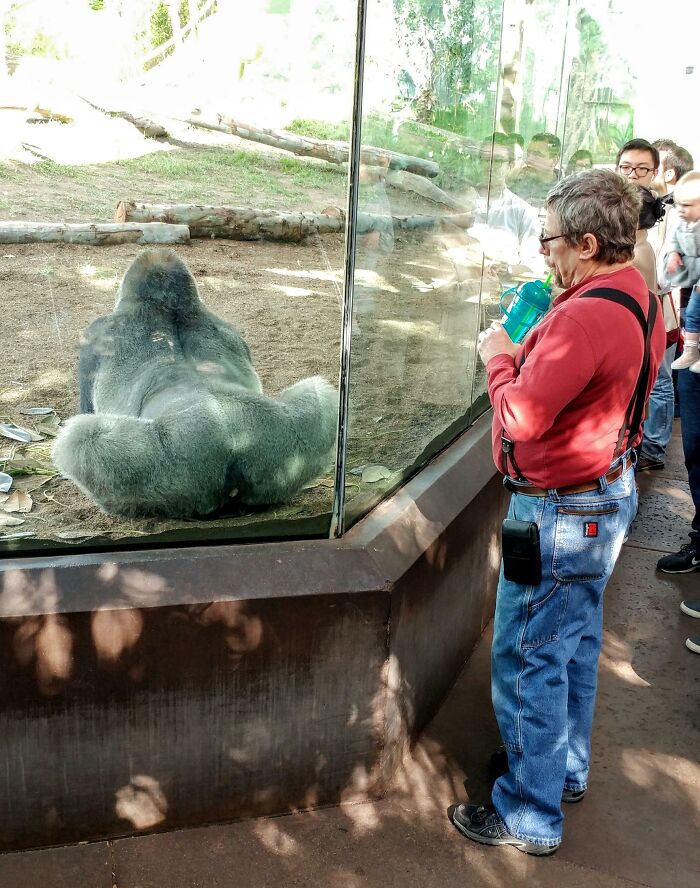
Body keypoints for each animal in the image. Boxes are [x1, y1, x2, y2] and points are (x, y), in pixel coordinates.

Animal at [52, 250, 338, 519]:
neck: (171, 308)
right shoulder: (231, 329)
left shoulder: (96, 333)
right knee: (320, 396)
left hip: (174, 476)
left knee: (83, 438)